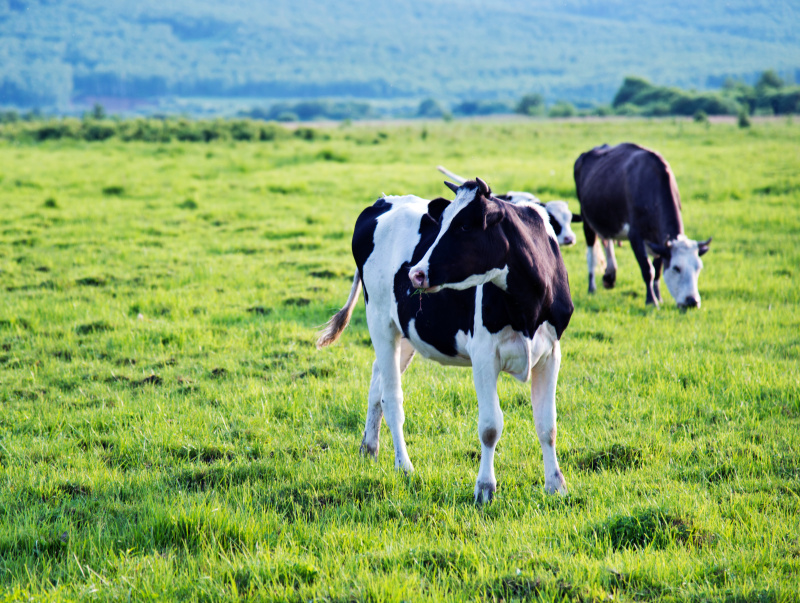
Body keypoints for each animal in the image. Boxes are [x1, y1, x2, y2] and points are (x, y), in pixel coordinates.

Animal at [316, 177, 572, 502]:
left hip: (407, 331)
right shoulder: (484, 354)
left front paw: (556, 485)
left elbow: (547, 425)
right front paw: (485, 489)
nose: (415, 273)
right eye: (442, 224)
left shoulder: (551, 352)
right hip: (379, 320)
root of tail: (384, 200)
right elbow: (490, 426)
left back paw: (369, 448)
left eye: (464, 226)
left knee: (377, 381)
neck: (528, 306)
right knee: (391, 397)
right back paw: (404, 466)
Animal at [576, 144, 712, 310]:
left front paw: (659, 297)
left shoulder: (658, 242)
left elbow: (658, 270)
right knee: (591, 253)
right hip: (586, 220)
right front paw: (651, 301)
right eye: (676, 268)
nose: (692, 301)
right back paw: (592, 287)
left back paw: (610, 276)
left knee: (607, 241)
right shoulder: (635, 236)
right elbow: (648, 269)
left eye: (698, 268)